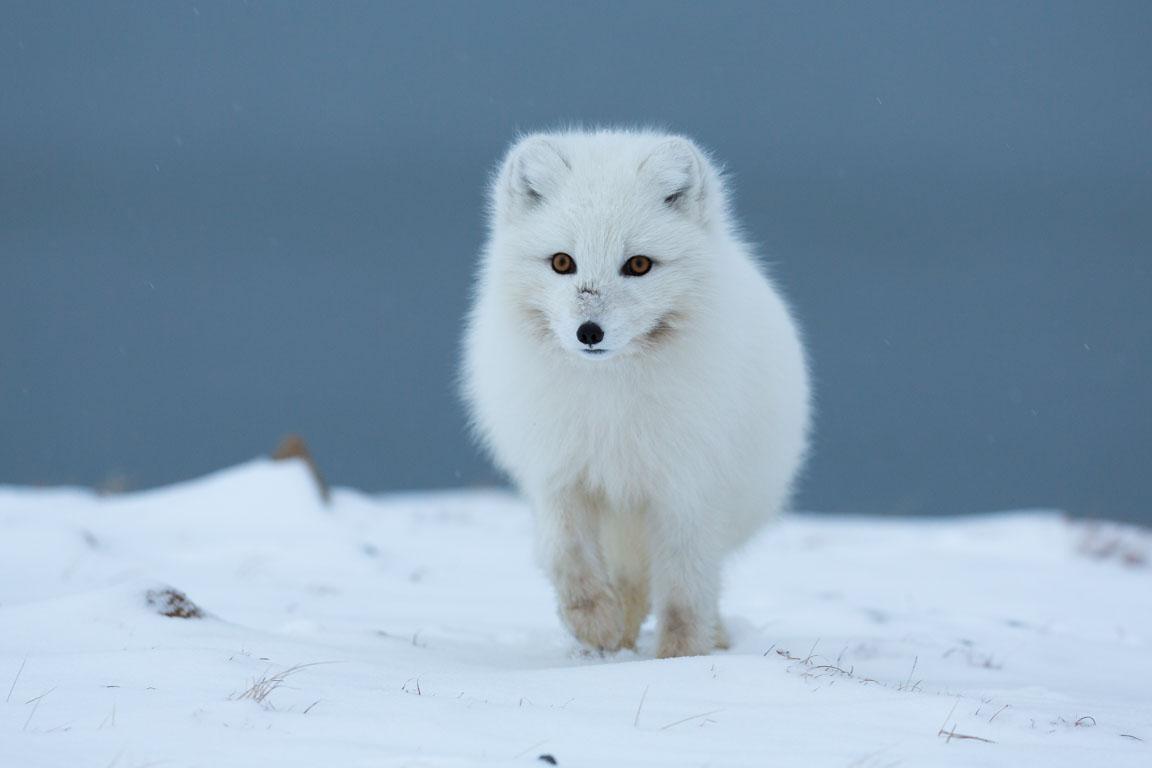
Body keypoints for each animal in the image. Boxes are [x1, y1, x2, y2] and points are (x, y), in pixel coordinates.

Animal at [460, 128, 811, 658]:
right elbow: (566, 554)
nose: (589, 332)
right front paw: (593, 622)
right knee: (629, 580)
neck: (611, 404)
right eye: (562, 262)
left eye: (639, 265)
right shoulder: (558, 472)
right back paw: (614, 640)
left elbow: (686, 592)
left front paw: (679, 659)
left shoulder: (687, 490)